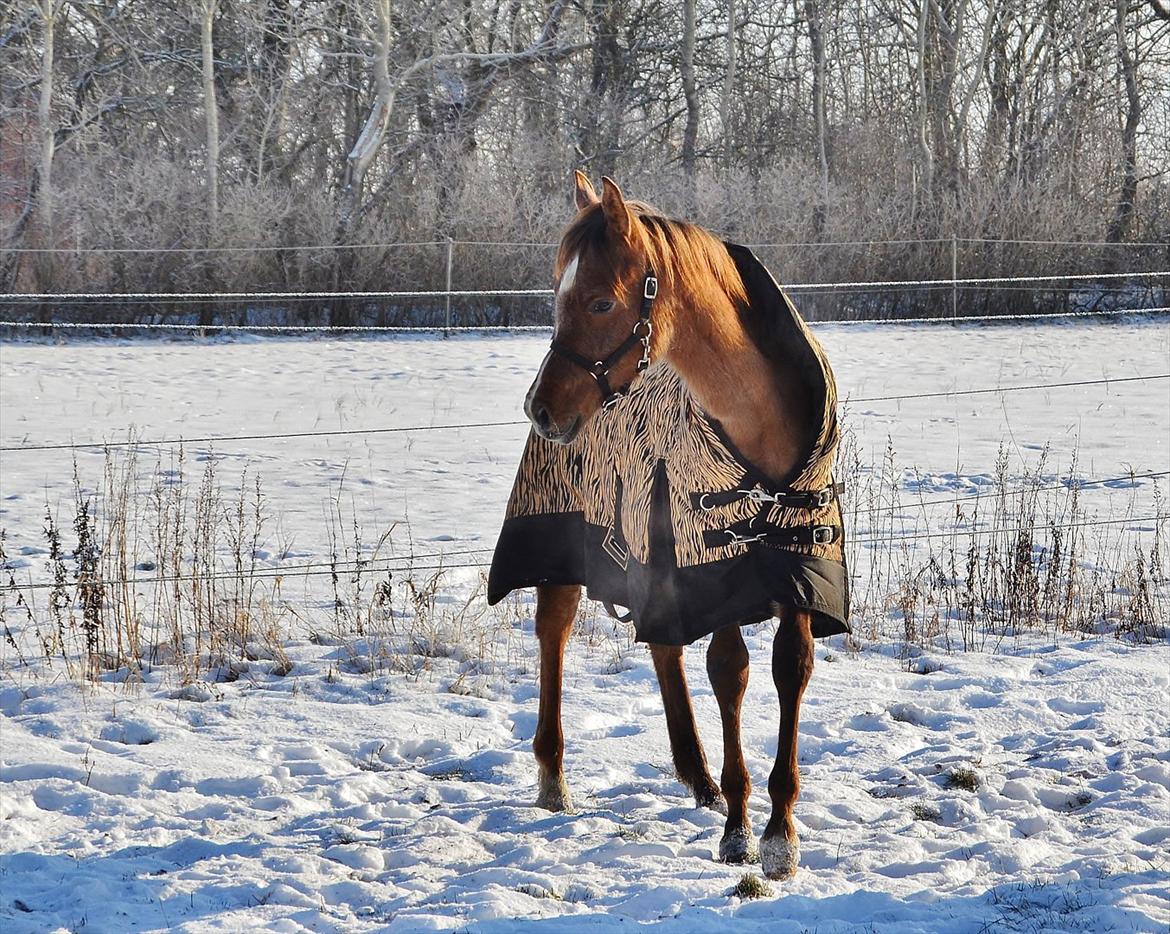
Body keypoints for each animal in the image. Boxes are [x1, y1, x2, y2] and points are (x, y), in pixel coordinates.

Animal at [486, 175, 851, 884]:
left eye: (600, 300)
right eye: (557, 294)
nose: (540, 409)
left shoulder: (795, 568)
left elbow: (789, 669)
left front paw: (780, 835)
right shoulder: (714, 569)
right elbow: (729, 671)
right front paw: (739, 829)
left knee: (662, 645)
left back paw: (698, 776)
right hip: (573, 543)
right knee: (555, 631)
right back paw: (554, 776)